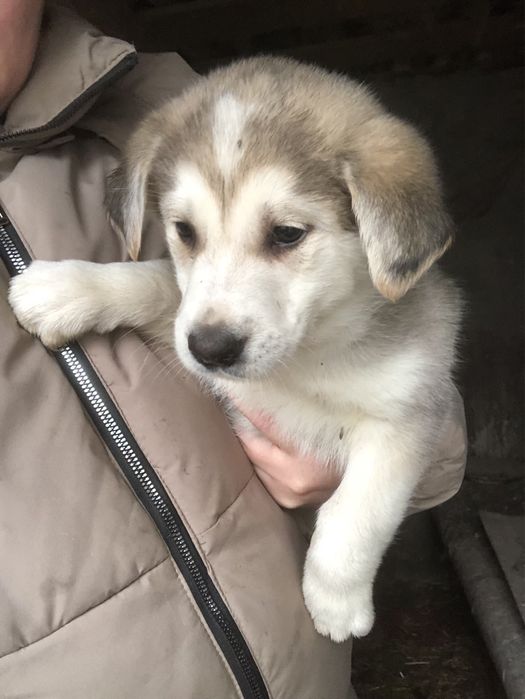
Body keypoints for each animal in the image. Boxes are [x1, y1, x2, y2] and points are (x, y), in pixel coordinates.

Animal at [9, 56, 462, 642]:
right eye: (184, 231)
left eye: (287, 234)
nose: (211, 350)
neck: (307, 357)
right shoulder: (185, 320)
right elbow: (151, 281)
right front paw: (63, 288)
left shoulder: (410, 414)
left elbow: (356, 512)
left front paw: (336, 601)